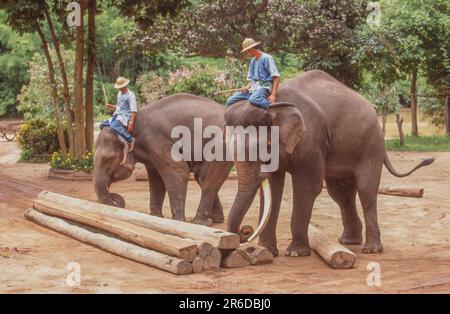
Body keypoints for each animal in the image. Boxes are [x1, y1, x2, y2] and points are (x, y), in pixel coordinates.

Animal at [95, 93, 236, 226]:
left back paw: (199, 223)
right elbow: (156, 178)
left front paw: (178, 221)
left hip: (221, 146)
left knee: (207, 179)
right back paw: (215, 220)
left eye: (107, 160)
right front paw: (156, 217)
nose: (114, 197)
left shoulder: (157, 141)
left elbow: (178, 172)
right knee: (200, 177)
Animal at [227, 70, 434, 256]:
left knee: (366, 191)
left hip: (371, 145)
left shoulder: (311, 142)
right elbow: (273, 191)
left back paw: (372, 249)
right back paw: (348, 241)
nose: (245, 230)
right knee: (341, 193)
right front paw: (267, 251)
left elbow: (308, 187)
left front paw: (296, 253)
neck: (273, 105)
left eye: (267, 148)